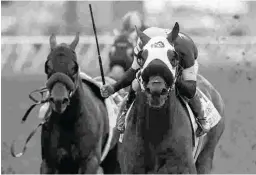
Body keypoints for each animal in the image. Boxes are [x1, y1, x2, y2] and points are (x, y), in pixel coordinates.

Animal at [40, 33, 119, 174]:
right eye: (48, 66)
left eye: (74, 67)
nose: (59, 100)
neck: (68, 122)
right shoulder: (49, 162)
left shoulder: (90, 161)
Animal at [117, 23, 225, 173]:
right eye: (141, 58)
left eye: (173, 58)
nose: (156, 89)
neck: (155, 132)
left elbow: (190, 88)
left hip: (207, 154)